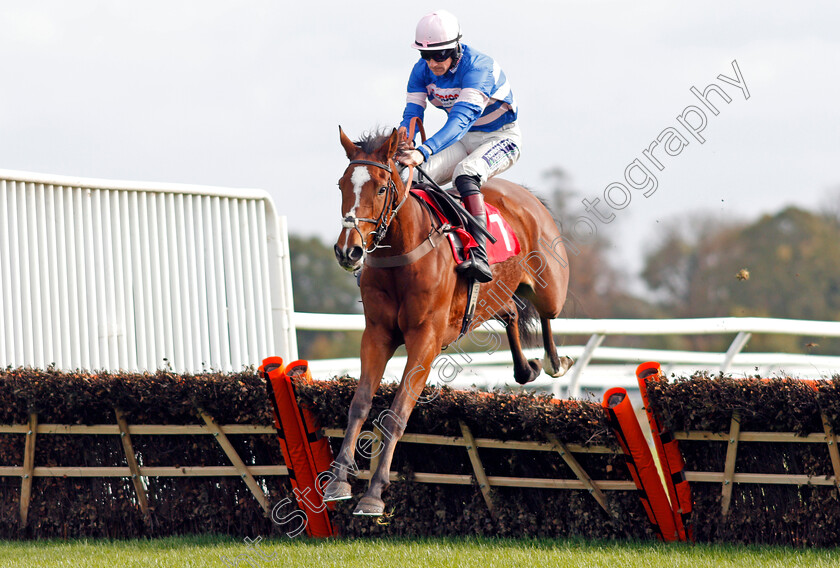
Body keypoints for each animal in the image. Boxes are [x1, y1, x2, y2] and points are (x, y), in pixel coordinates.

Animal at [324, 126, 576, 516]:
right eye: (341, 185)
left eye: (380, 188)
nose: (348, 251)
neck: (403, 253)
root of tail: (526, 196)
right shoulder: (377, 334)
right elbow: (360, 404)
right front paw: (338, 480)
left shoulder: (425, 339)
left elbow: (397, 412)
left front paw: (374, 493)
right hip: (492, 297)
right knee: (511, 311)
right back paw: (526, 368)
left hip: (549, 286)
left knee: (547, 315)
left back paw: (552, 362)